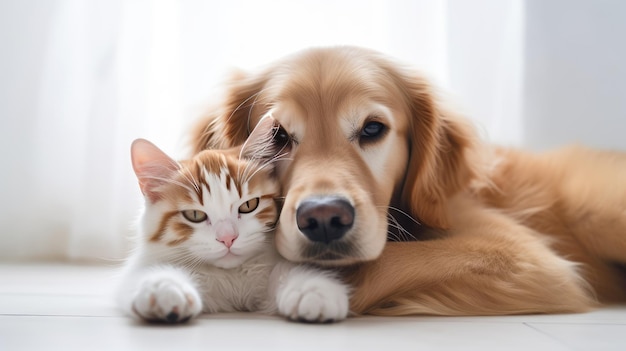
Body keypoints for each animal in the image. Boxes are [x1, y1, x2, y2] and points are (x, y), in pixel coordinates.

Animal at [117, 119, 352, 324]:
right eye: (195, 215)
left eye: (249, 205)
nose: (228, 238)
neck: (234, 277)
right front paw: (164, 287)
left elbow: (284, 270)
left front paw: (312, 290)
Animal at [190, 46, 624, 316]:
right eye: (278, 135)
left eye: (372, 128)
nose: (324, 219)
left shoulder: (523, 257)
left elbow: (381, 263)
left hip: (596, 211)